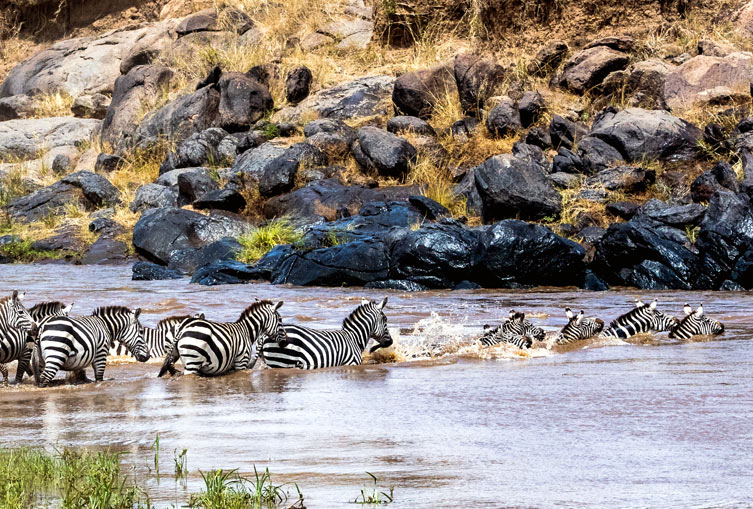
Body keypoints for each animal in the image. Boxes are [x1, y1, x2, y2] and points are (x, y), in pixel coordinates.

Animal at [262, 298, 394, 370]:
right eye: (385, 319)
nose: (391, 342)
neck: (354, 338)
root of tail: (264, 335)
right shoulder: (351, 363)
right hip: (280, 362)